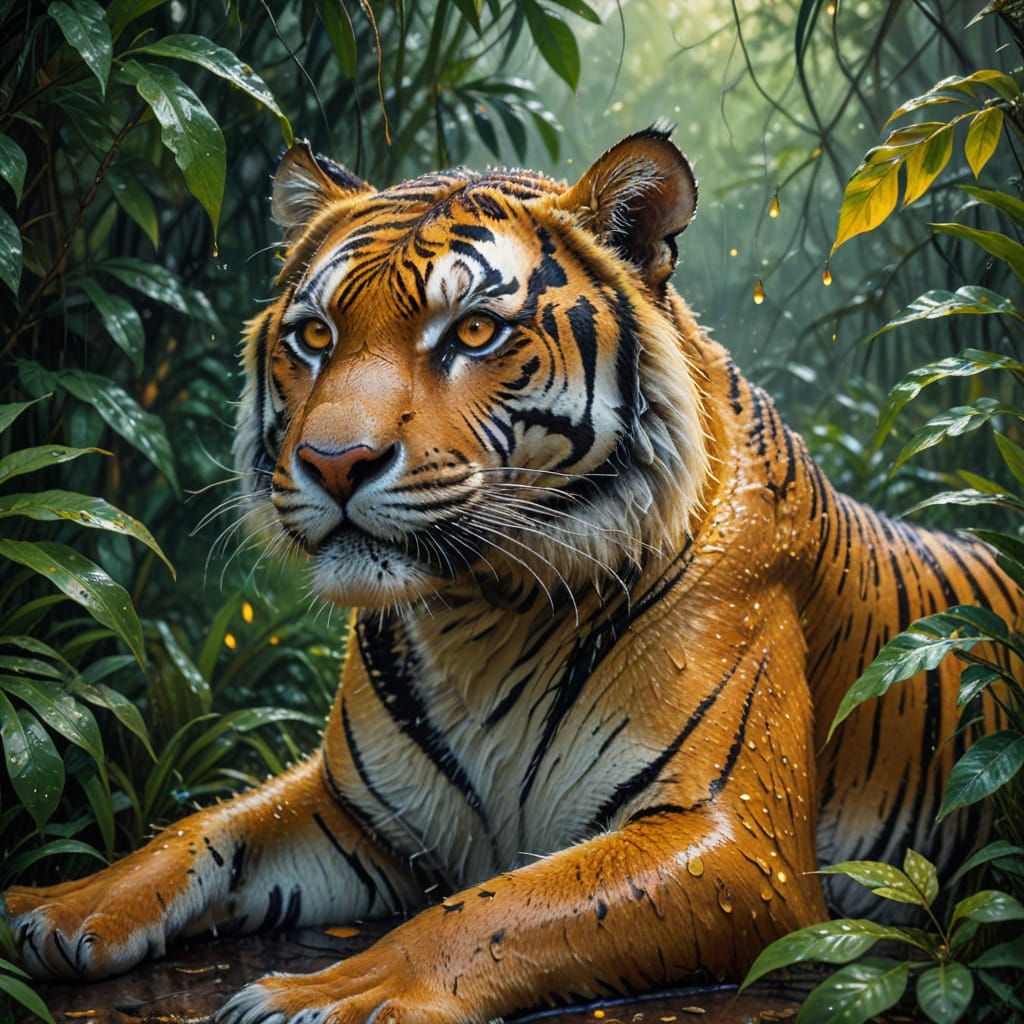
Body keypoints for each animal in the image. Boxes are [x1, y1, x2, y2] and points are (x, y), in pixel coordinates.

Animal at [5, 128, 1019, 1024]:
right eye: (315, 336)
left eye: (475, 330)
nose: (334, 463)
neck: (480, 615)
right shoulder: (361, 816)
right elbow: (205, 826)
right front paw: (57, 906)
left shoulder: (736, 845)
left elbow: (502, 908)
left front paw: (336, 992)